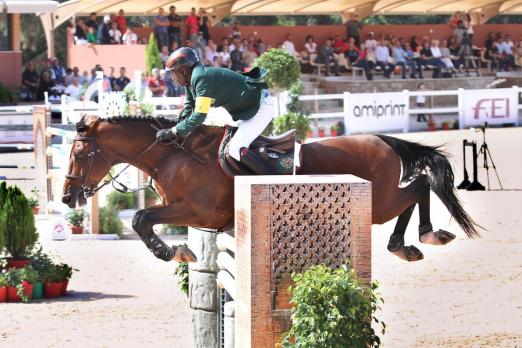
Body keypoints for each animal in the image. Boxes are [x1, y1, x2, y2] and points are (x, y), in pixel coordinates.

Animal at [61, 115, 476, 262]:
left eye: (79, 153)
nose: (67, 197)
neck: (171, 155)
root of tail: (382, 140)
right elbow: (143, 219)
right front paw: (177, 250)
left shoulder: (196, 209)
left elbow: (141, 218)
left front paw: (170, 251)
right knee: (416, 190)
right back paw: (405, 245)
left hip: (379, 202)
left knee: (418, 187)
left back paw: (423, 236)